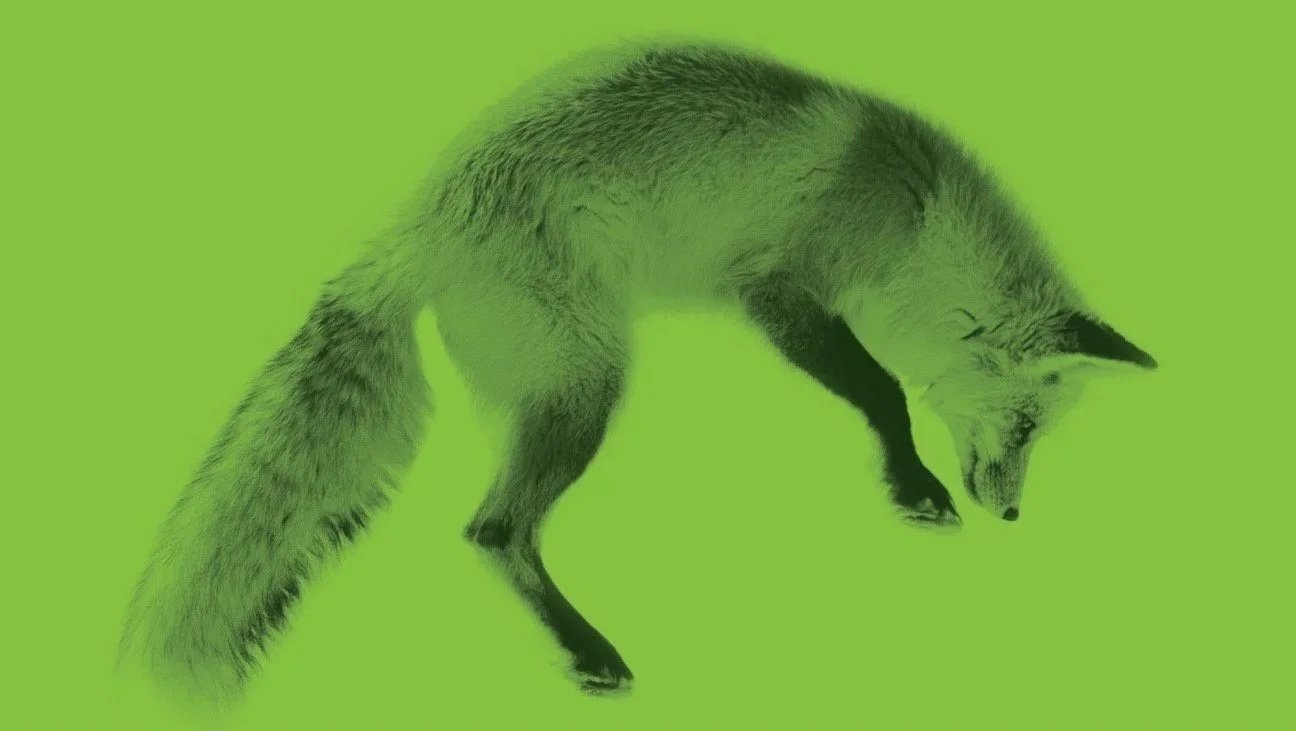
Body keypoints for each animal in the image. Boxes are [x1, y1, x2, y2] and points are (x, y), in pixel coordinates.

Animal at [117, 39, 1158, 708]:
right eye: (1025, 427)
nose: (1014, 514)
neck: (914, 216)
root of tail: (422, 218)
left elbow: (885, 388)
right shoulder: (776, 288)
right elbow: (883, 391)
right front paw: (913, 487)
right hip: (587, 389)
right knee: (494, 529)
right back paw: (592, 654)